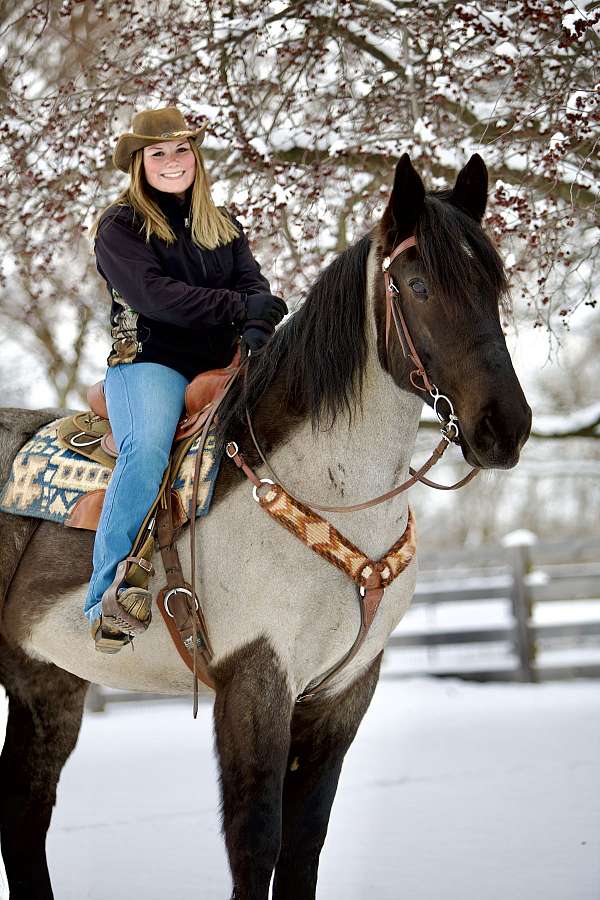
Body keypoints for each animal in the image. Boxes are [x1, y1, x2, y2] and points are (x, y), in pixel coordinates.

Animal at [0, 151, 528, 896]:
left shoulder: (342, 693)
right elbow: (256, 842)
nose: (504, 428)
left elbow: (305, 843)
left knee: (23, 809)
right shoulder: (255, 681)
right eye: (419, 284)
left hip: (46, 682)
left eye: (494, 283)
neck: (323, 493)